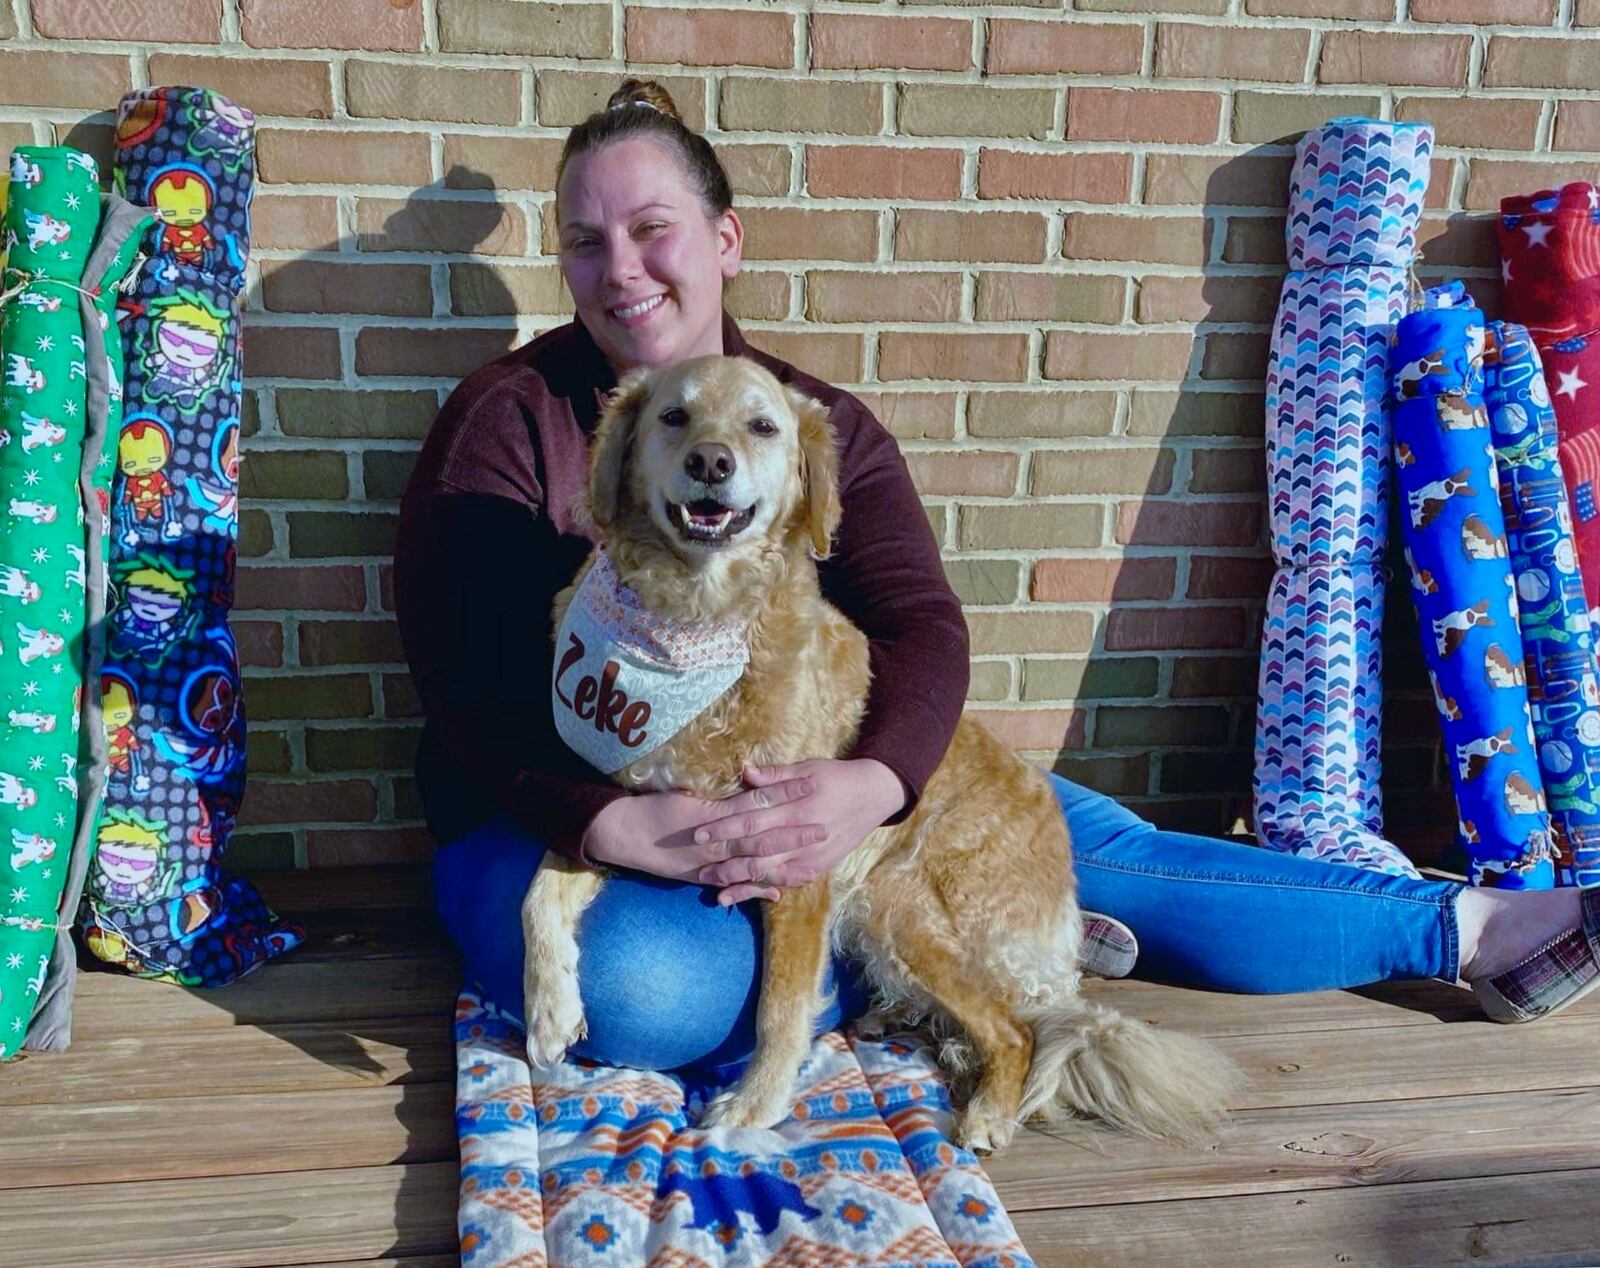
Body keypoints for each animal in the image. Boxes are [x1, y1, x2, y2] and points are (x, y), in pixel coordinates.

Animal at [524, 353, 1235, 1146]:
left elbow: (780, 1010)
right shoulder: (618, 808)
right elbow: (539, 892)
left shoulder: (796, 860)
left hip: (897, 898)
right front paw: (550, 1011)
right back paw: (895, 1019)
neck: (699, 616)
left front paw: (755, 1107)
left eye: (762, 425)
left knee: (1013, 1030)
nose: (711, 462)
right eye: (674, 416)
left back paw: (990, 1109)